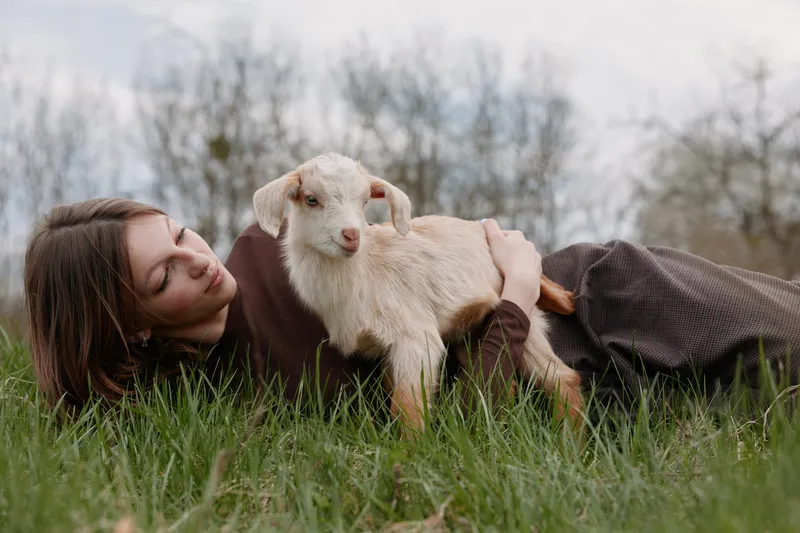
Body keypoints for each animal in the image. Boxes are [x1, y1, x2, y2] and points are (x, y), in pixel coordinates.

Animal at [252, 152, 584, 436]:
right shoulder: (386, 351)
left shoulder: (414, 336)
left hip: (529, 320)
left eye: (364, 201)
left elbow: (408, 407)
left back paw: (570, 445)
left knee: (562, 378)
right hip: (473, 330)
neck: (364, 273)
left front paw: (410, 452)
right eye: (311, 199)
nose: (351, 235)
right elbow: (396, 397)